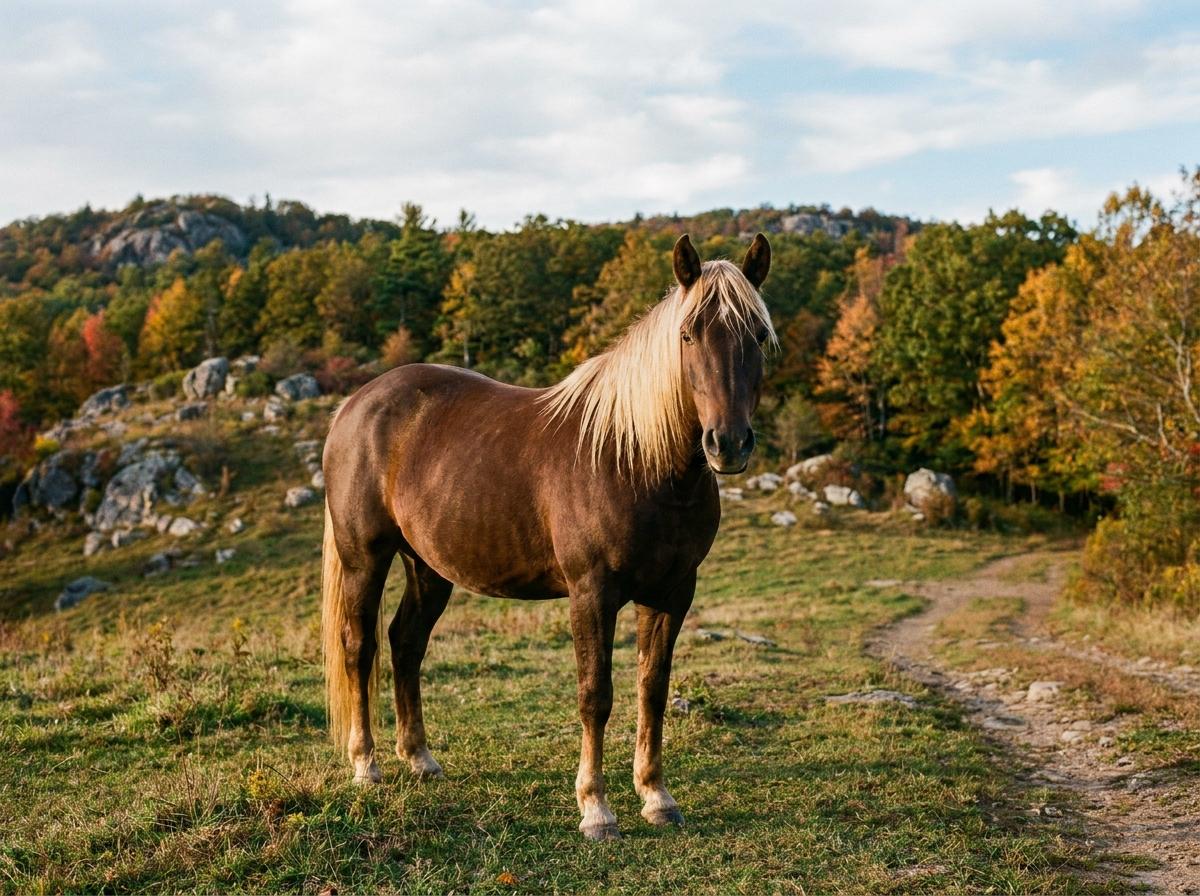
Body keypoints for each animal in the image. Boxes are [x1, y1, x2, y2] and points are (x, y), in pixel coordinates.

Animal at [321, 233, 773, 840]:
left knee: (405, 642)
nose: (728, 443)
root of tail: (355, 404)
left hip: (428, 567)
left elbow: (652, 690)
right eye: (688, 335)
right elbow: (595, 695)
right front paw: (596, 808)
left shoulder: (673, 593)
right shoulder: (591, 593)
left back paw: (419, 758)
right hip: (364, 559)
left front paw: (656, 796)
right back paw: (366, 765)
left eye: (758, 336)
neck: (632, 458)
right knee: (360, 647)